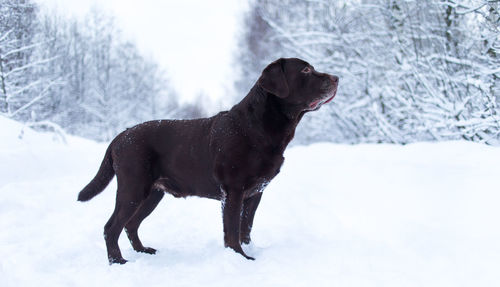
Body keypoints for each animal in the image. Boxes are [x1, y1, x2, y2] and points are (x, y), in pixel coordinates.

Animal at [78, 57, 340, 264]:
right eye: (305, 70)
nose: (337, 77)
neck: (258, 128)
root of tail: (120, 135)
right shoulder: (233, 191)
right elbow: (232, 231)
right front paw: (241, 258)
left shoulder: (255, 193)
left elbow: (246, 228)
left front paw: (250, 251)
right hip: (133, 188)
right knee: (111, 227)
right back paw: (118, 261)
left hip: (153, 194)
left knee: (130, 225)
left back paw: (143, 251)